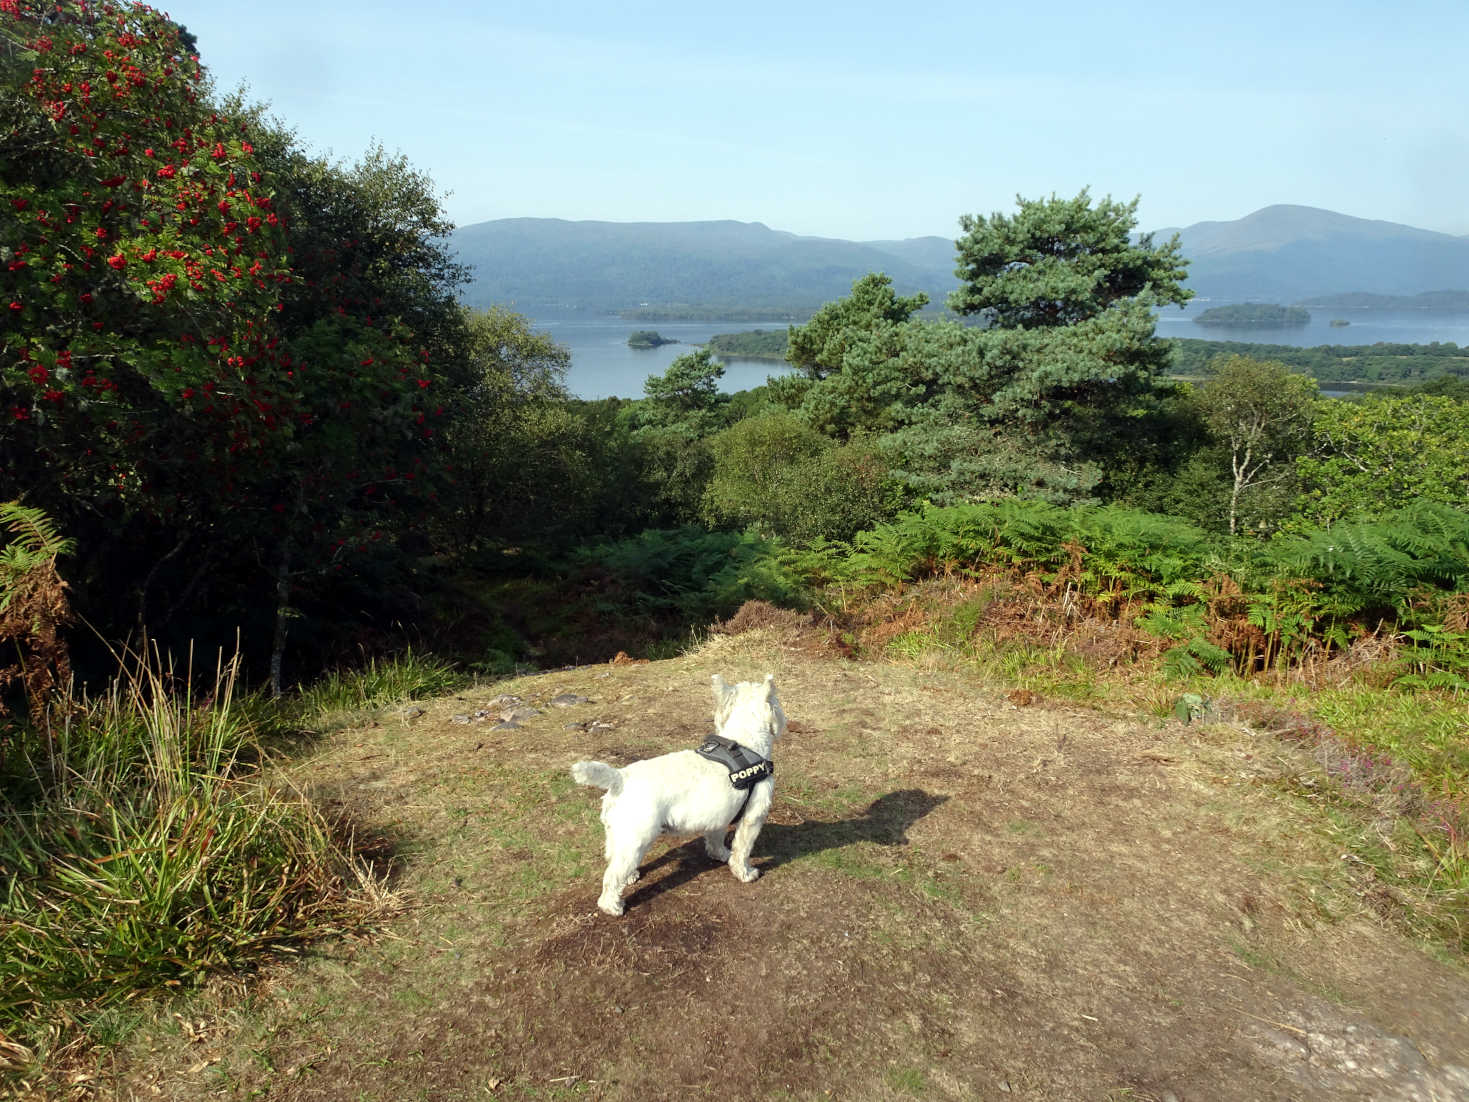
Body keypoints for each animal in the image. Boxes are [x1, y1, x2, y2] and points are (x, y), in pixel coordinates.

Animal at [569, 678, 787, 916]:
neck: (745, 742)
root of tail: (620, 777)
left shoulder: (720, 816)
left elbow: (716, 840)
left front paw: (720, 854)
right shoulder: (753, 817)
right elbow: (742, 850)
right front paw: (746, 873)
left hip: (618, 834)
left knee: (614, 858)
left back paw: (631, 876)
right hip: (636, 839)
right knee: (611, 877)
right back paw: (613, 906)